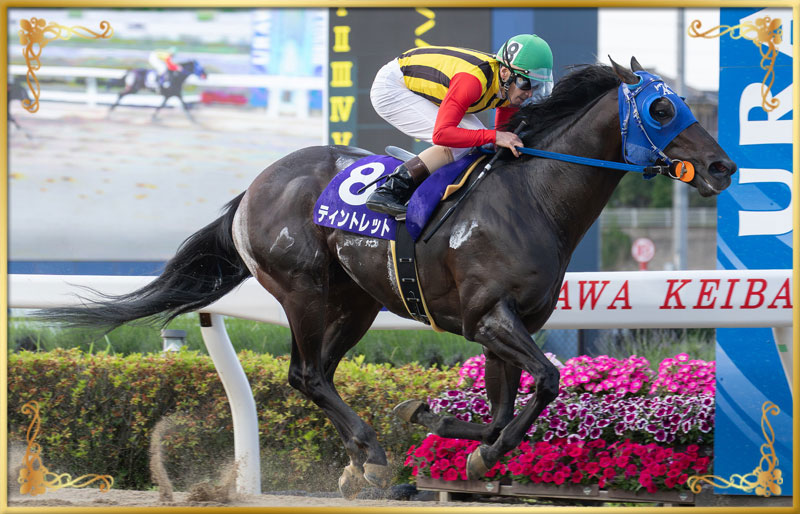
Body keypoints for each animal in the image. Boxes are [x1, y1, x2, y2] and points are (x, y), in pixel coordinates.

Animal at [38, 57, 736, 498]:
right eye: (663, 106)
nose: (722, 167)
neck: (534, 198)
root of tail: (253, 189)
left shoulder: (506, 326)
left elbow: (505, 406)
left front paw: (446, 428)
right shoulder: (489, 318)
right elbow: (547, 381)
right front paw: (467, 444)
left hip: (358, 302)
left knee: (321, 373)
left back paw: (360, 462)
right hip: (304, 289)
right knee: (305, 373)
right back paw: (370, 458)